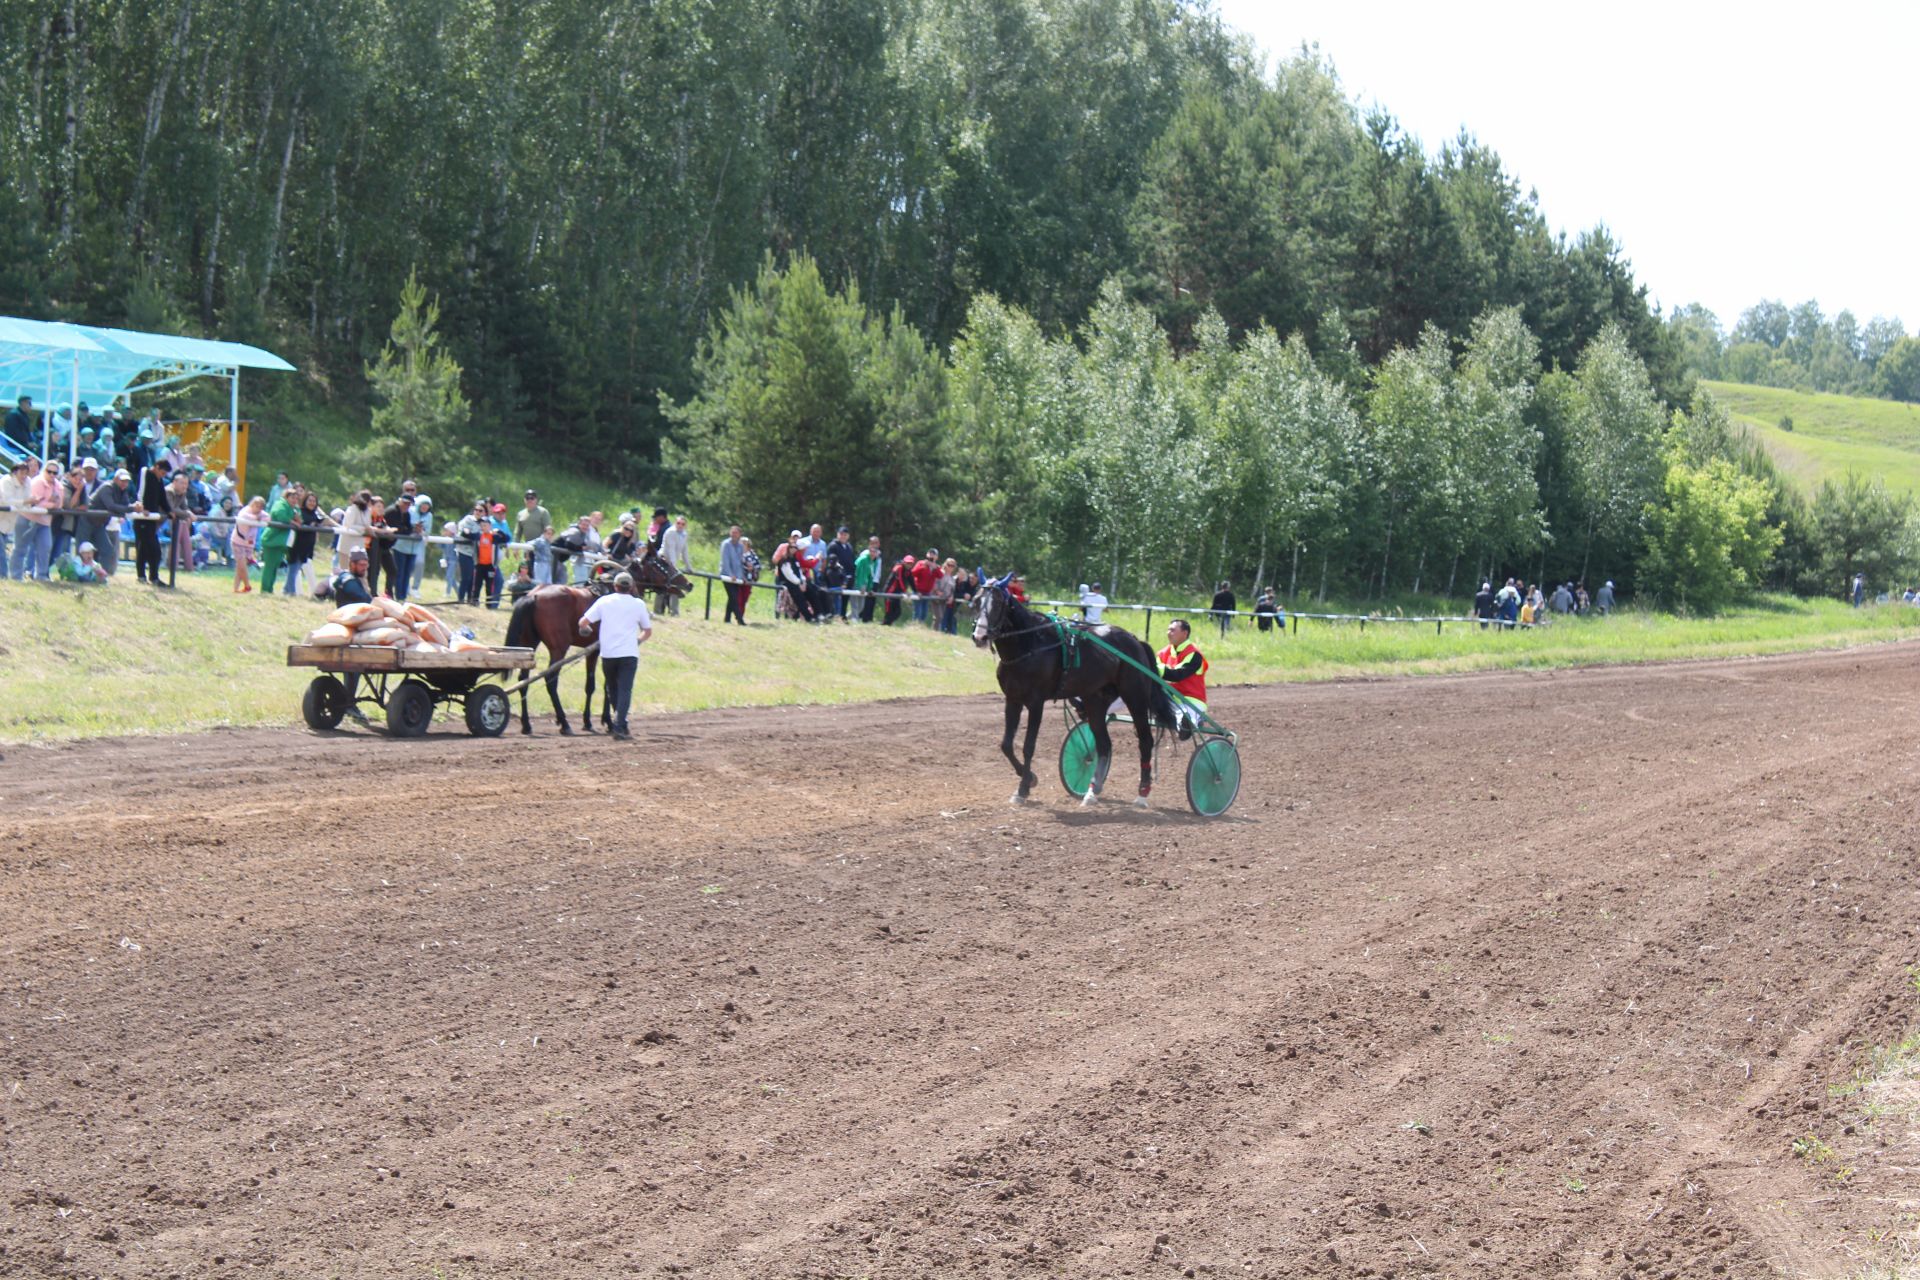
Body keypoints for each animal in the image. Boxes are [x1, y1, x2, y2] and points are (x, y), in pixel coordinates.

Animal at [506, 545, 695, 736]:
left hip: (529, 644)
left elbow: (590, 685)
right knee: (551, 680)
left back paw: (526, 724)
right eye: (663, 563)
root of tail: (534, 595)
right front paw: (609, 722)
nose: (688, 584)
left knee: (523, 680)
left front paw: (588, 722)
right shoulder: (603, 651)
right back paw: (564, 722)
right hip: (558, 648)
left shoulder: (593, 652)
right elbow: (607, 686)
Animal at [975, 575, 1167, 805]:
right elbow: (1006, 744)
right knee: (1104, 744)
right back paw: (1092, 790)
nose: (979, 637)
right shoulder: (1012, 699)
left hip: (1135, 696)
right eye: (976, 601)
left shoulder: (1036, 703)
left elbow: (1028, 746)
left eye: (997, 604)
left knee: (1145, 741)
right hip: (1095, 700)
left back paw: (1142, 792)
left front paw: (1022, 789)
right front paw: (1030, 778)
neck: (1030, 645)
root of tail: (1135, 639)